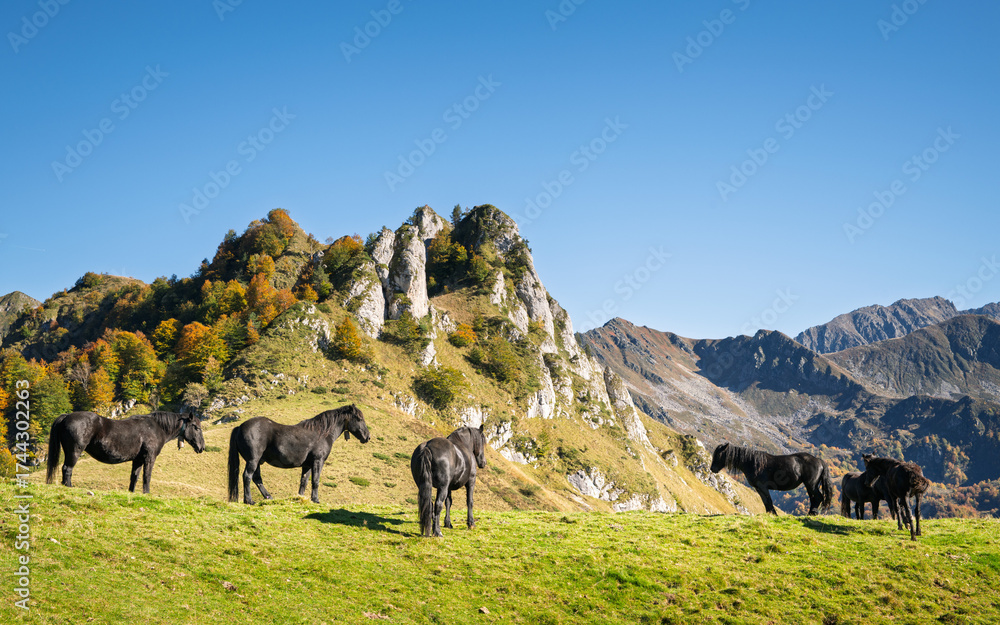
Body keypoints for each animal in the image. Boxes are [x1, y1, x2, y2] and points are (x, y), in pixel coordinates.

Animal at [46, 411, 205, 493]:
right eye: (196, 428)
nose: (202, 447)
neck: (156, 427)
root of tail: (66, 416)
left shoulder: (138, 459)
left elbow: (134, 477)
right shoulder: (149, 457)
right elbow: (147, 476)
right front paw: (147, 493)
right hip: (74, 451)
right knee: (67, 469)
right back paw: (69, 487)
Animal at [228, 404, 370, 504]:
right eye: (359, 418)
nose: (367, 437)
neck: (322, 433)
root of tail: (240, 427)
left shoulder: (307, 465)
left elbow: (304, 482)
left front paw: (300, 498)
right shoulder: (318, 461)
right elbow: (315, 481)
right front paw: (315, 499)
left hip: (257, 462)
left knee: (257, 479)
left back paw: (268, 498)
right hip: (253, 460)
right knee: (247, 476)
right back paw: (249, 501)